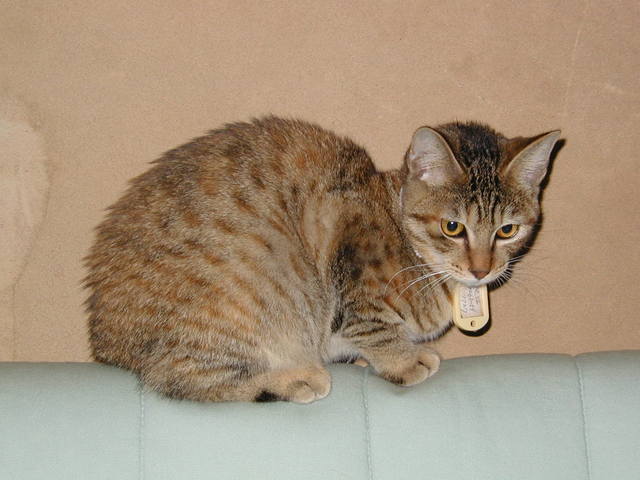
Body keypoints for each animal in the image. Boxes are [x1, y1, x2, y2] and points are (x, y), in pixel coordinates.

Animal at [84, 116, 560, 403]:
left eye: (507, 230)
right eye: (453, 227)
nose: (482, 269)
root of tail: (107, 344)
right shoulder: (345, 260)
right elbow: (376, 328)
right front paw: (404, 361)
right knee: (181, 378)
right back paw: (294, 378)